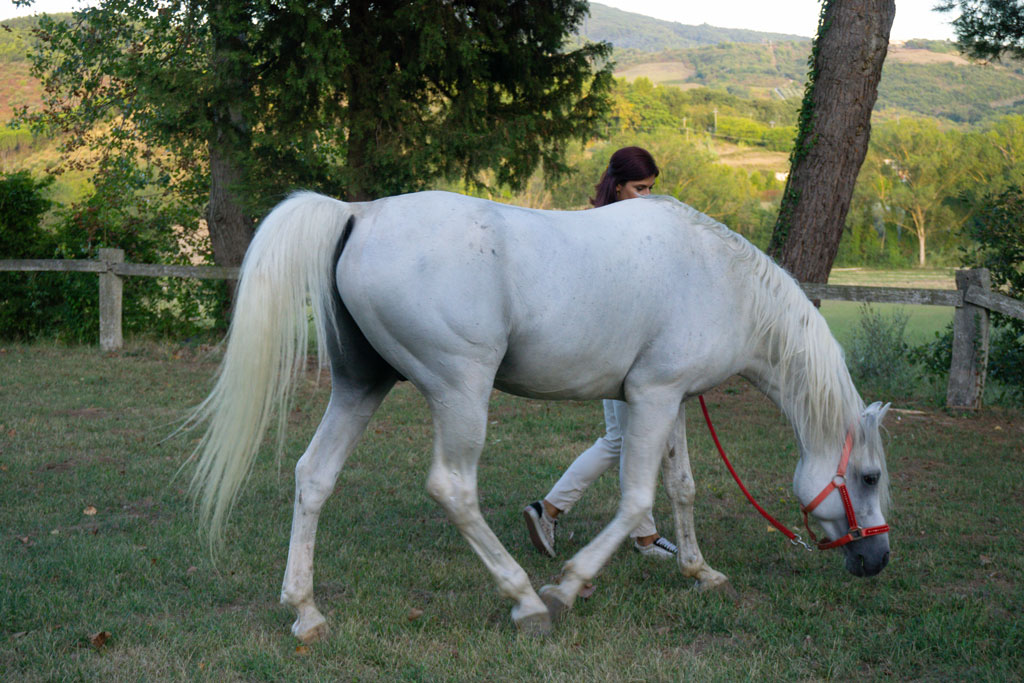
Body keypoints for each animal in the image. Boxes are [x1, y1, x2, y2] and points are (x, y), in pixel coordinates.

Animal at [188, 191, 891, 642]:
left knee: (314, 477)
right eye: (870, 477)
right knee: (452, 487)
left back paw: (305, 612)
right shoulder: (654, 398)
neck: (723, 280)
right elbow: (637, 499)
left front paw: (700, 571)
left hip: (362, 386)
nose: (877, 559)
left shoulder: (669, 401)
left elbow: (682, 488)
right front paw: (567, 585)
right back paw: (525, 600)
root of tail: (359, 214)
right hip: (461, 393)